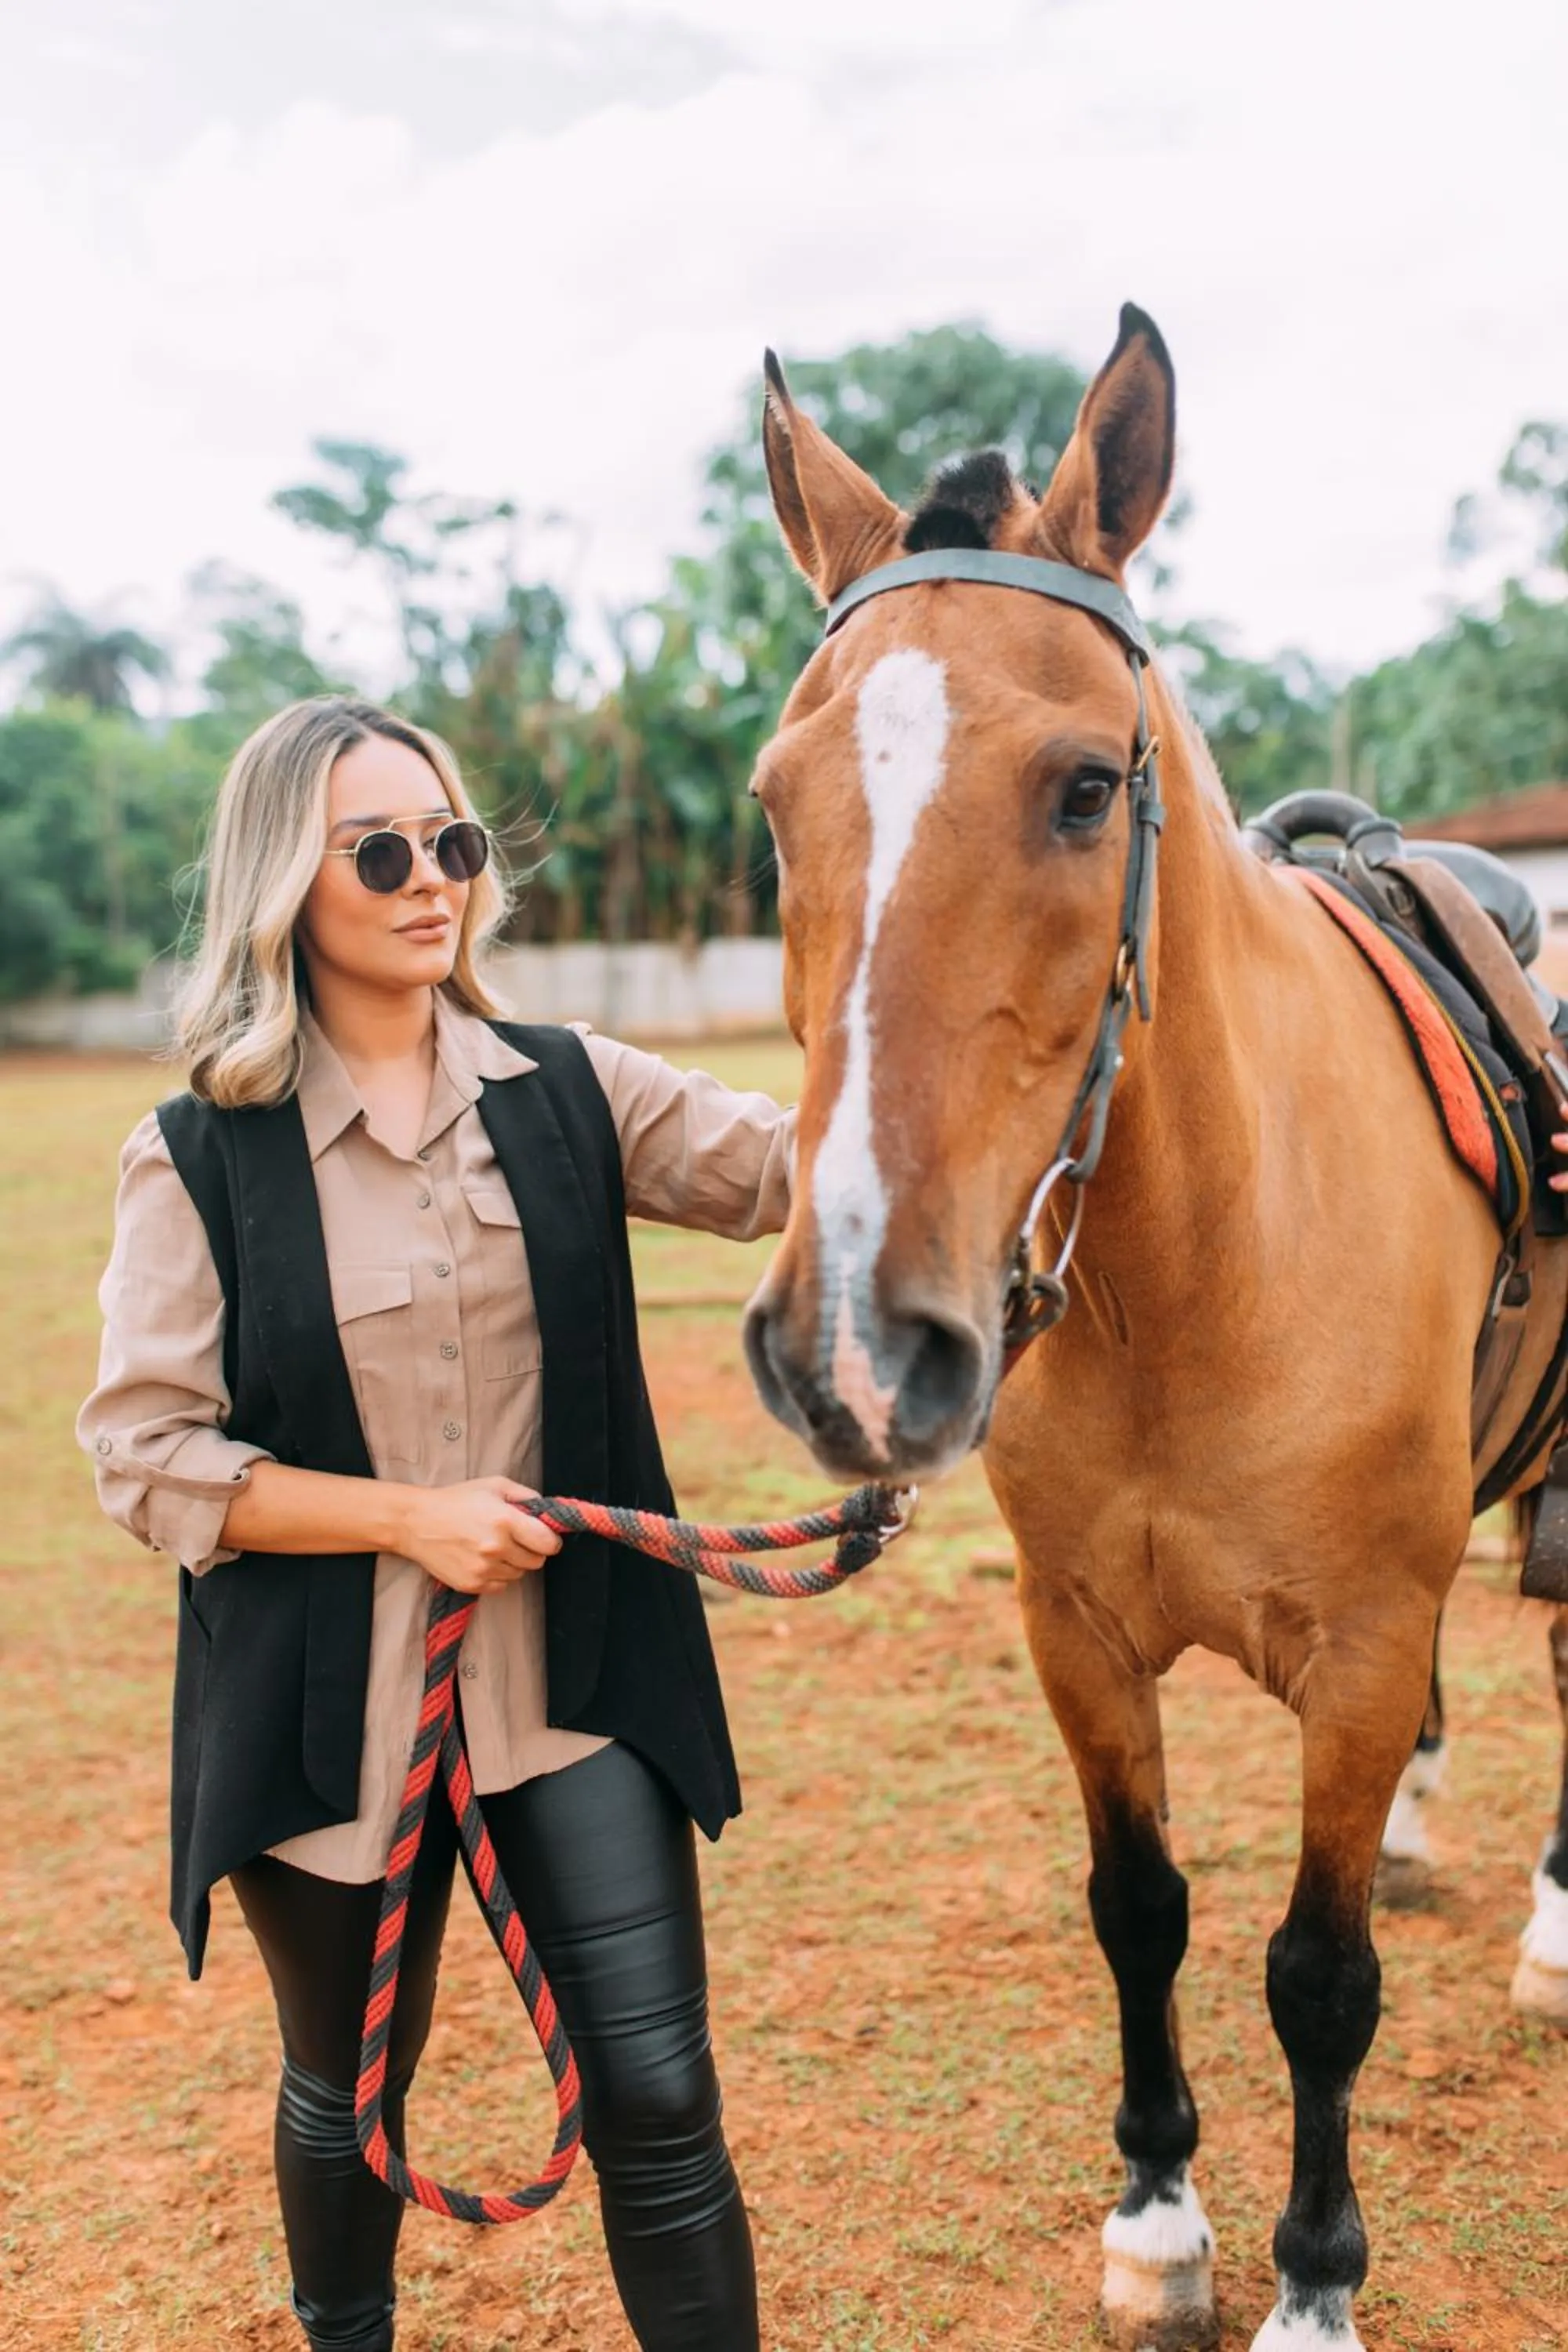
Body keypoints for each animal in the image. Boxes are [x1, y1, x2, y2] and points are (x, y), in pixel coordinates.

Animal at [740, 304, 1567, 2351]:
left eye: (1084, 788)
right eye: (773, 810)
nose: (857, 1336)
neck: (1190, 1275)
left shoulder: (1355, 1645)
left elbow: (1315, 1976)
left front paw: (1310, 2281)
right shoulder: (1081, 1635)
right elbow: (1144, 1912)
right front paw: (1157, 2220)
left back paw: (1546, 1928)